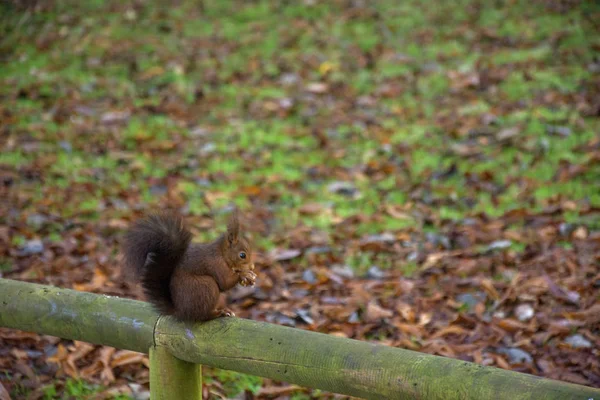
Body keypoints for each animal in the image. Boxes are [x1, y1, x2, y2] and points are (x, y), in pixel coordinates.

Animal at [120, 212, 254, 322]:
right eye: (242, 255)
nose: (252, 266)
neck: (221, 252)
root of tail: (181, 312)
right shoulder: (216, 263)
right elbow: (225, 282)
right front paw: (244, 274)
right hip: (206, 287)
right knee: (203, 316)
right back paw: (220, 313)